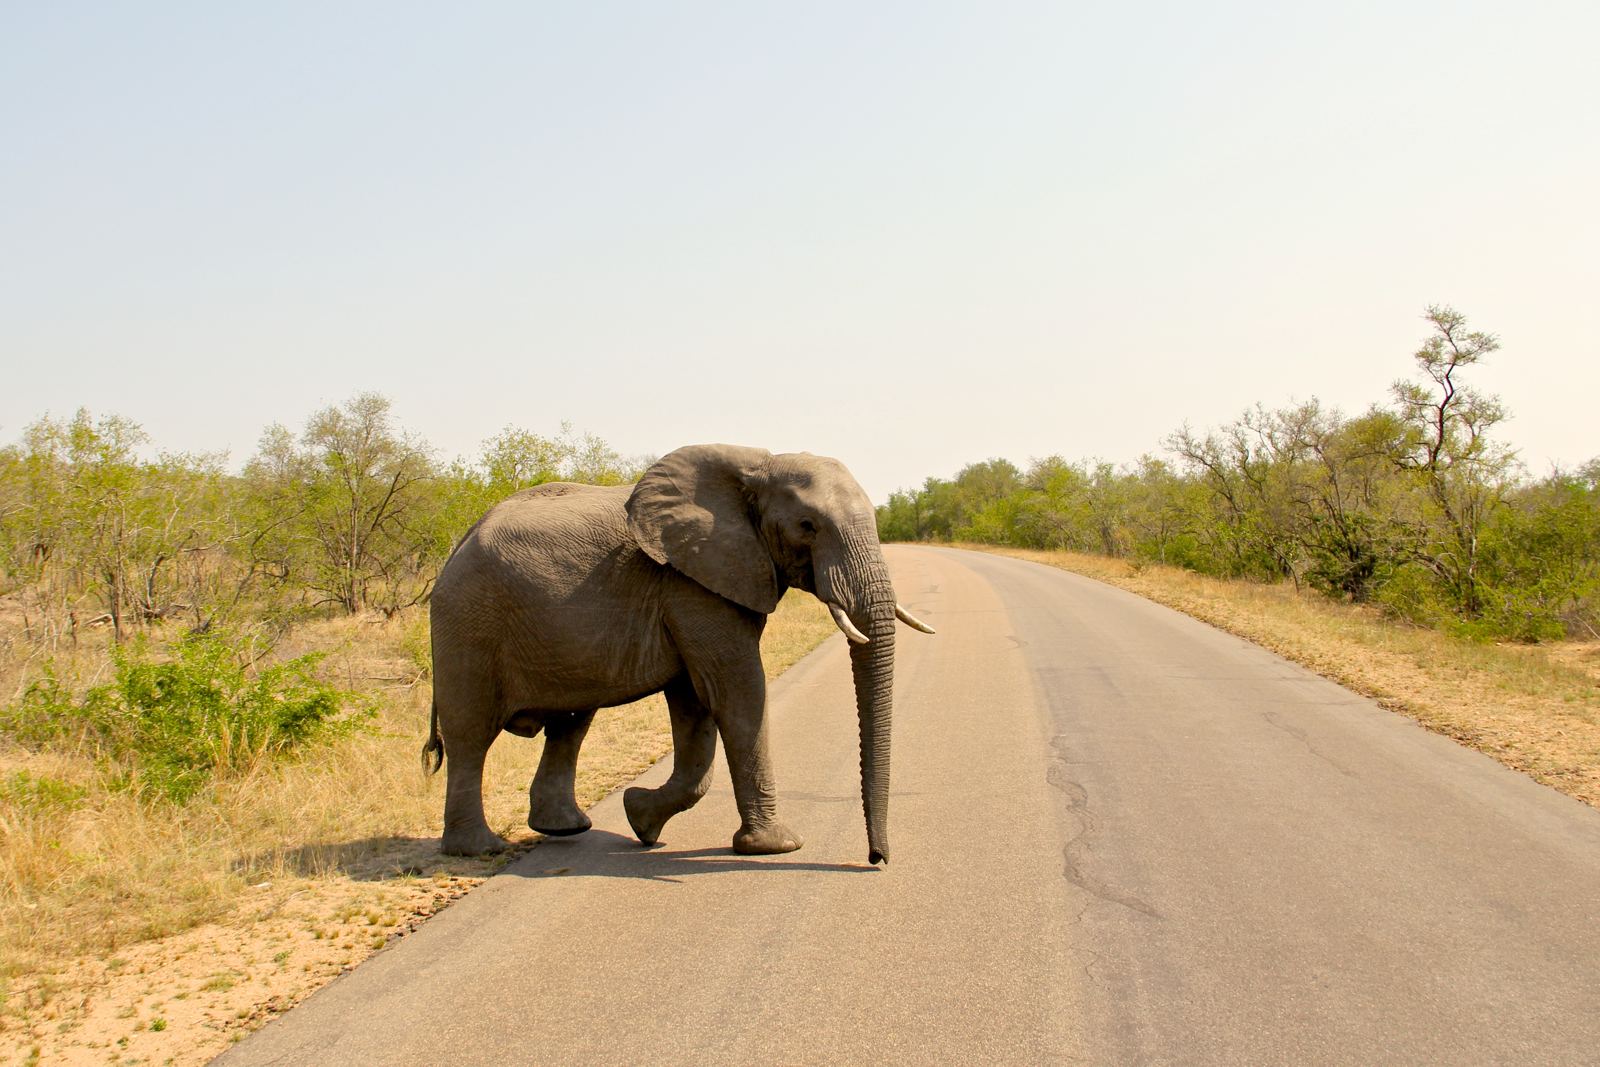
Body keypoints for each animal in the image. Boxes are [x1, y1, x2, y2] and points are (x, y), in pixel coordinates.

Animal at [422, 443, 934, 864]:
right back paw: (479, 850)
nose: (876, 859)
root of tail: (458, 544)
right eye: (807, 526)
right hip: (467, 622)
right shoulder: (690, 583)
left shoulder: (703, 580)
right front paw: (776, 847)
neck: (756, 465)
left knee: (569, 724)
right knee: (470, 734)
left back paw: (566, 829)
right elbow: (736, 692)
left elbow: (696, 706)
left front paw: (640, 819)